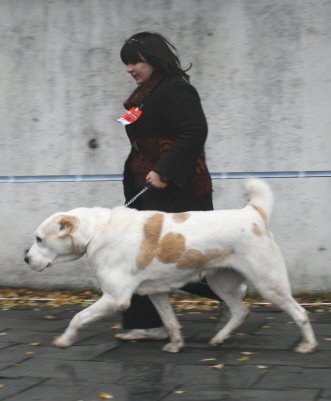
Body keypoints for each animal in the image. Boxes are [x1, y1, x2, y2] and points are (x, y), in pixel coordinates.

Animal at [24, 180, 318, 352]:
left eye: (39, 239)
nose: (26, 258)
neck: (97, 231)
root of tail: (253, 213)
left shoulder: (116, 298)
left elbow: (78, 317)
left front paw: (65, 340)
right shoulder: (155, 292)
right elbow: (170, 321)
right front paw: (176, 344)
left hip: (269, 284)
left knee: (300, 312)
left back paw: (308, 345)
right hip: (221, 282)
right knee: (240, 311)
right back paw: (219, 337)